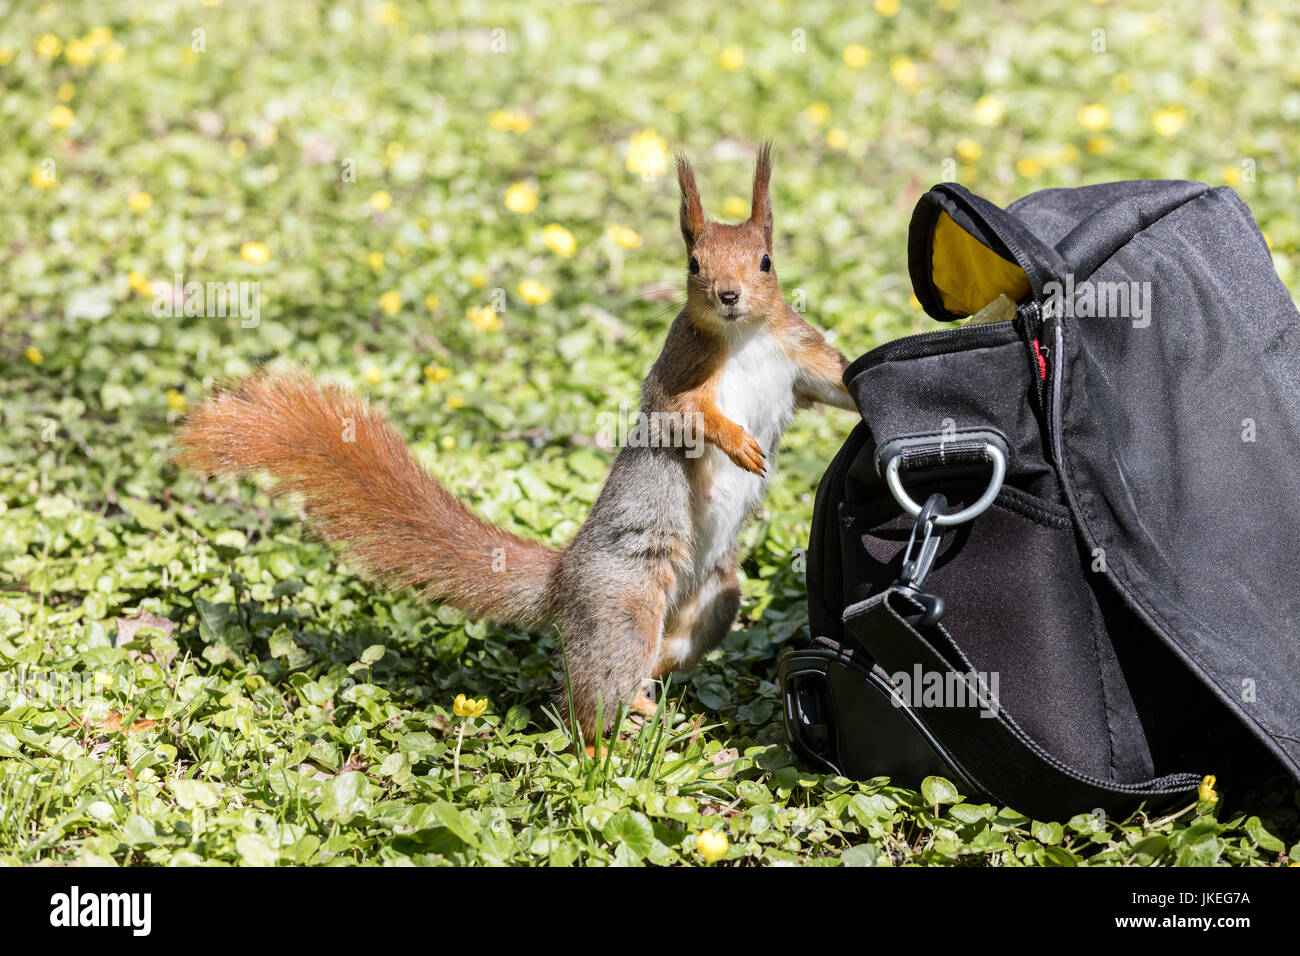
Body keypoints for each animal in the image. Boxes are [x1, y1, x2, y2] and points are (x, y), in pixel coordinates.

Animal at [175, 141, 863, 738]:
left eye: (766, 261)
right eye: (693, 264)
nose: (728, 295)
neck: (742, 336)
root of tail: (562, 579)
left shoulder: (796, 351)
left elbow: (838, 381)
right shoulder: (676, 377)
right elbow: (681, 416)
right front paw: (737, 441)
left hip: (716, 600)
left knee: (661, 657)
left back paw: (652, 703)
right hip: (624, 600)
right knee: (585, 701)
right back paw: (608, 740)